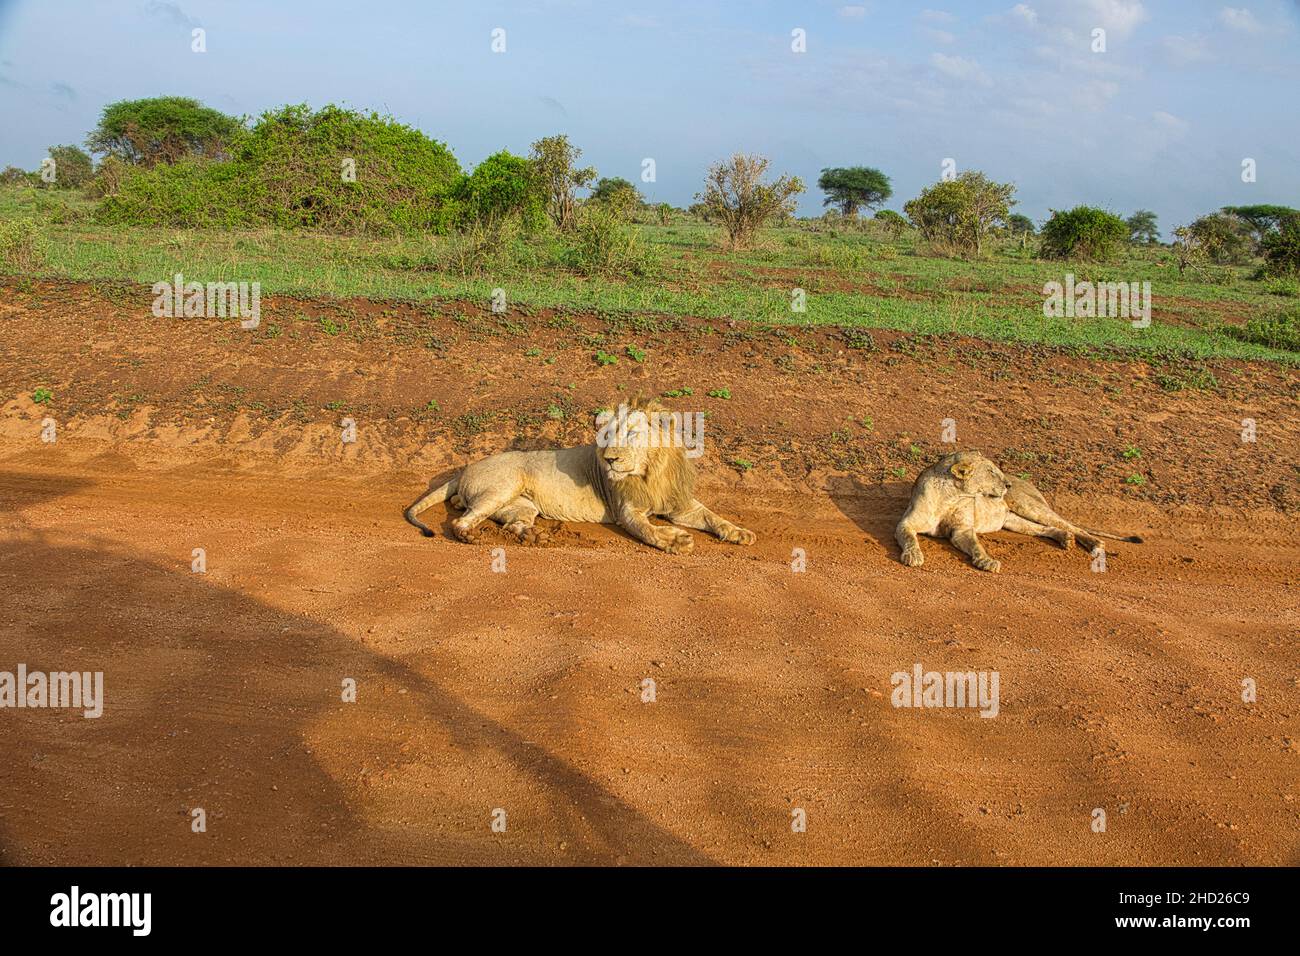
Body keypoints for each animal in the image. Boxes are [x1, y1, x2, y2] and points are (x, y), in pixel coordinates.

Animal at [404, 396, 755, 554]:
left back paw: (534, 537)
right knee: (460, 522)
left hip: (521, 506)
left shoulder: (681, 505)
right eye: (607, 435)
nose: (610, 460)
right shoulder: (627, 511)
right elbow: (647, 529)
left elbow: (713, 516)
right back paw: (471, 537)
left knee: (512, 523)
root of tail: (465, 467)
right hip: (502, 486)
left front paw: (741, 533)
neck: (649, 471)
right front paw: (676, 540)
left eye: (631, 434)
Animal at [895, 450, 1143, 573]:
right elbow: (910, 538)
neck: (952, 496)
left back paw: (1094, 544)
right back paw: (1066, 539)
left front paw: (987, 562)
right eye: (991, 472)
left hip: (1030, 506)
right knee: (1046, 529)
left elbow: (976, 545)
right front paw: (913, 556)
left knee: (1071, 525)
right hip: (1013, 521)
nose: (1007, 484)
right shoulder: (906, 523)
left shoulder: (963, 530)